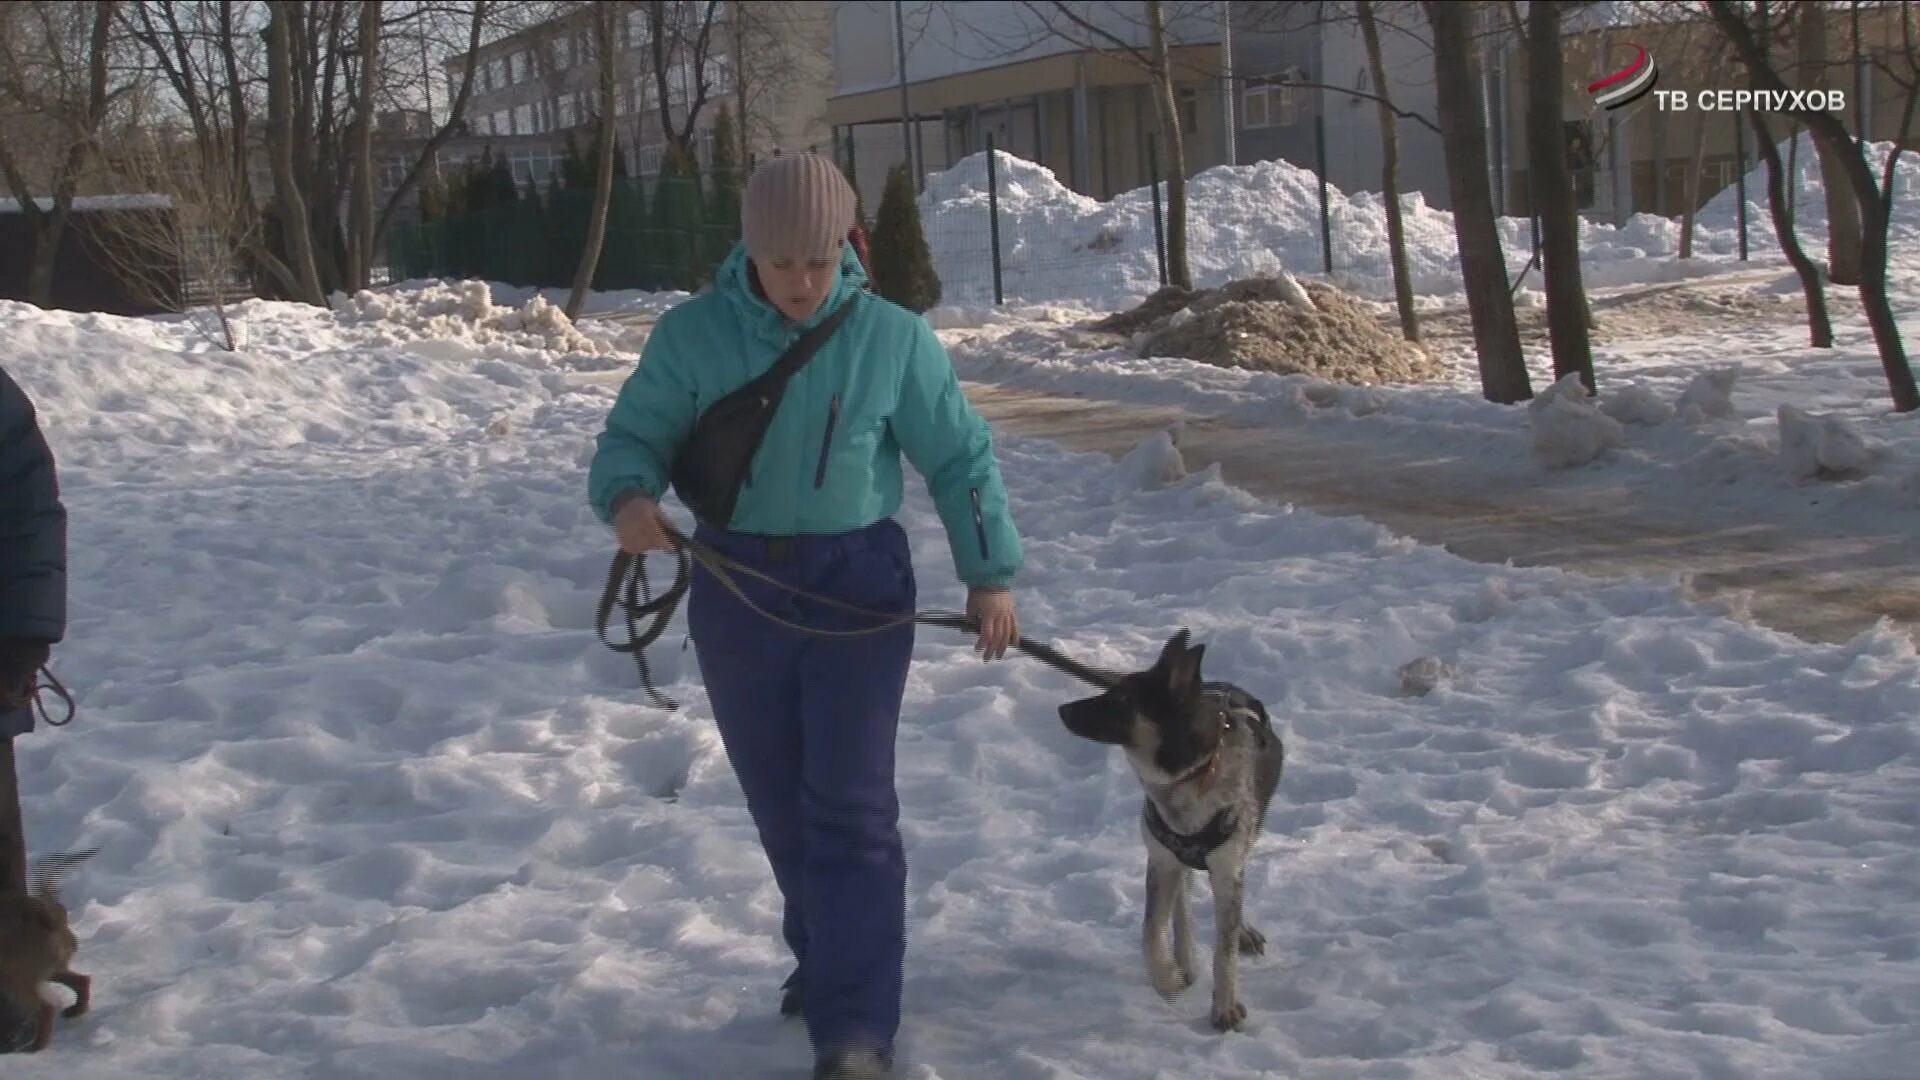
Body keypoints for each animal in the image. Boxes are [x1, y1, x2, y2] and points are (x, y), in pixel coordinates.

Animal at [0, 845, 93, 1045]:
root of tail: (50, 918)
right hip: (48, 970)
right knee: (82, 981)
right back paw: (76, 1011)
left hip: (15, 977)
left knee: (46, 1009)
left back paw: (36, 1047)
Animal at [1059, 626, 1282, 1030]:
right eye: (1110, 689)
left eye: (1123, 699)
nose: (1062, 709)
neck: (1187, 780)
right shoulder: (1161, 858)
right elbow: (1151, 931)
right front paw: (1168, 978)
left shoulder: (1227, 863)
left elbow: (1224, 948)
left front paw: (1225, 1006)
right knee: (1182, 900)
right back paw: (1185, 957)